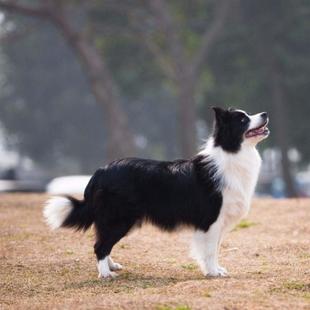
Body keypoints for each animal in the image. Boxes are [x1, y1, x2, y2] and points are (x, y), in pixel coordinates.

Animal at [43, 107, 268, 278]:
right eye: (242, 119)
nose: (265, 113)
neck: (232, 153)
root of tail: (100, 172)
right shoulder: (211, 221)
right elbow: (210, 250)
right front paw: (212, 272)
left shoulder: (219, 223)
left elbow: (216, 248)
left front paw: (216, 269)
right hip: (120, 218)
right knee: (100, 245)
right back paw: (106, 274)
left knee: (102, 241)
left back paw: (111, 265)